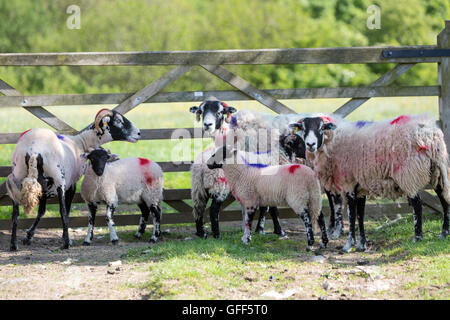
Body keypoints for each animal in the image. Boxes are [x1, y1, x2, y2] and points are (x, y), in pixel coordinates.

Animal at [4, 108, 140, 250]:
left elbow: (41, 211)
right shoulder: (72, 184)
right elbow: (66, 212)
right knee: (63, 212)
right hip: (59, 179)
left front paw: (29, 236)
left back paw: (13, 245)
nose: (139, 133)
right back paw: (66, 243)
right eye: (118, 120)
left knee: (15, 213)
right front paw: (63, 238)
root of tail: (34, 150)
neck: (80, 142)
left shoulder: (45, 186)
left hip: (17, 176)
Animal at [292, 113, 450, 252]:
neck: (335, 142)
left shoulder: (349, 184)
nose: (310, 144)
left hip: (409, 174)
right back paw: (444, 233)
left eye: (321, 128)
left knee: (417, 204)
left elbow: (351, 215)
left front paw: (349, 245)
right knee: (444, 200)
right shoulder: (360, 188)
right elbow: (360, 215)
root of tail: (430, 135)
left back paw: (418, 237)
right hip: (436, 173)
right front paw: (361, 245)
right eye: (303, 129)